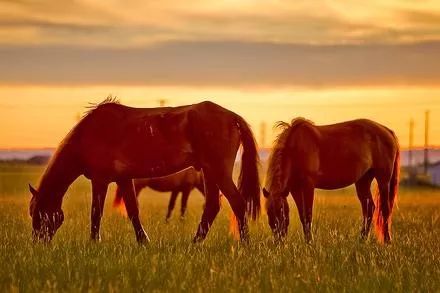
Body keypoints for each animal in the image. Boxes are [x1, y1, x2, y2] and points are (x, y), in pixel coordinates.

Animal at [29, 97, 262, 243]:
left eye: (39, 213)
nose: (38, 244)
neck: (90, 134)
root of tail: (233, 117)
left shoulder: (100, 180)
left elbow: (96, 213)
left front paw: (94, 243)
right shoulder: (124, 179)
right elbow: (133, 211)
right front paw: (143, 241)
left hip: (218, 171)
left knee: (238, 204)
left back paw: (245, 245)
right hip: (208, 171)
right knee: (212, 207)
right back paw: (194, 244)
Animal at [262, 117, 400, 243]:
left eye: (281, 210)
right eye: (268, 212)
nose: (279, 240)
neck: (295, 149)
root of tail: (387, 131)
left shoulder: (308, 186)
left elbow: (308, 215)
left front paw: (309, 243)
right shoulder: (295, 189)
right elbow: (302, 216)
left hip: (383, 180)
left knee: (385, 209)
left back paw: (387, 241)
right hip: (363, 180)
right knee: (369, 207)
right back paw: (362, 239)